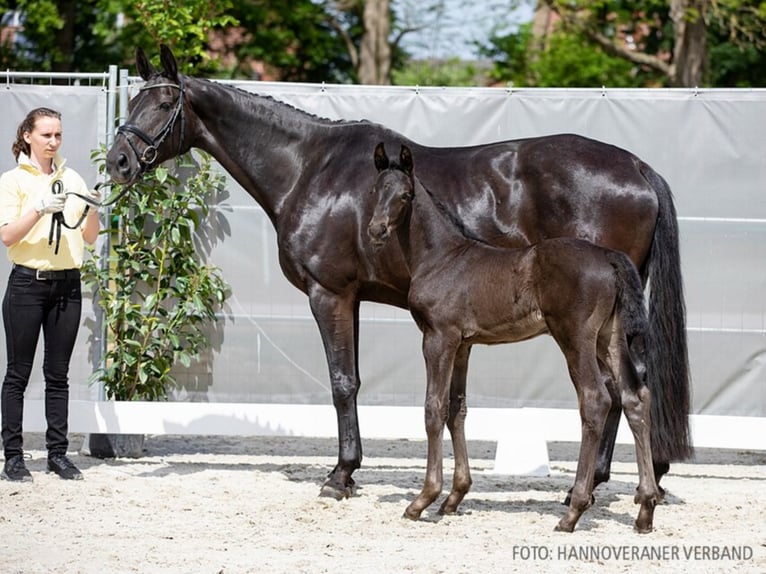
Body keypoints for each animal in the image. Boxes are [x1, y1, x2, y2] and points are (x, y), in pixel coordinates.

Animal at [368, 145, 664, 536]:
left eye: (404, 195)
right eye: (374, 190)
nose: (375, 230)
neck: (442, 258)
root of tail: (608, 256)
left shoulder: (438, 337)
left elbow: (433, 409)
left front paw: (423, 499)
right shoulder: (463, 344)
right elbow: (456, 410)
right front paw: (454, 497)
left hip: (575, 337)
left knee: (596, 399)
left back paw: (573, 511)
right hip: (609, 338)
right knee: (635, 398)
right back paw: (645, 509)